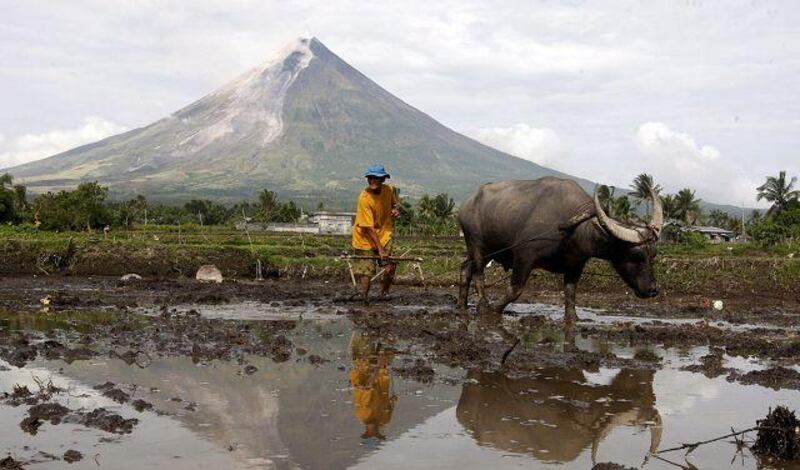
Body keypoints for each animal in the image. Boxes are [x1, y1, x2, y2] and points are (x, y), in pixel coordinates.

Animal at [456, 176, 664, 320]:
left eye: (653, 255)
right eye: (636, 256)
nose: (653, 290)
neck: (575, 229)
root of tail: (466, 204)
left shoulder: (575, 265)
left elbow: (570, 295)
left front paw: (573, 319)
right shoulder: (524, 256)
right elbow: (514, 290)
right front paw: (493, 311)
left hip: (486, 250)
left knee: (466, 268)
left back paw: (461, 306)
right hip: (476, 244)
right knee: (479, 274)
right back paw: (482, 305)